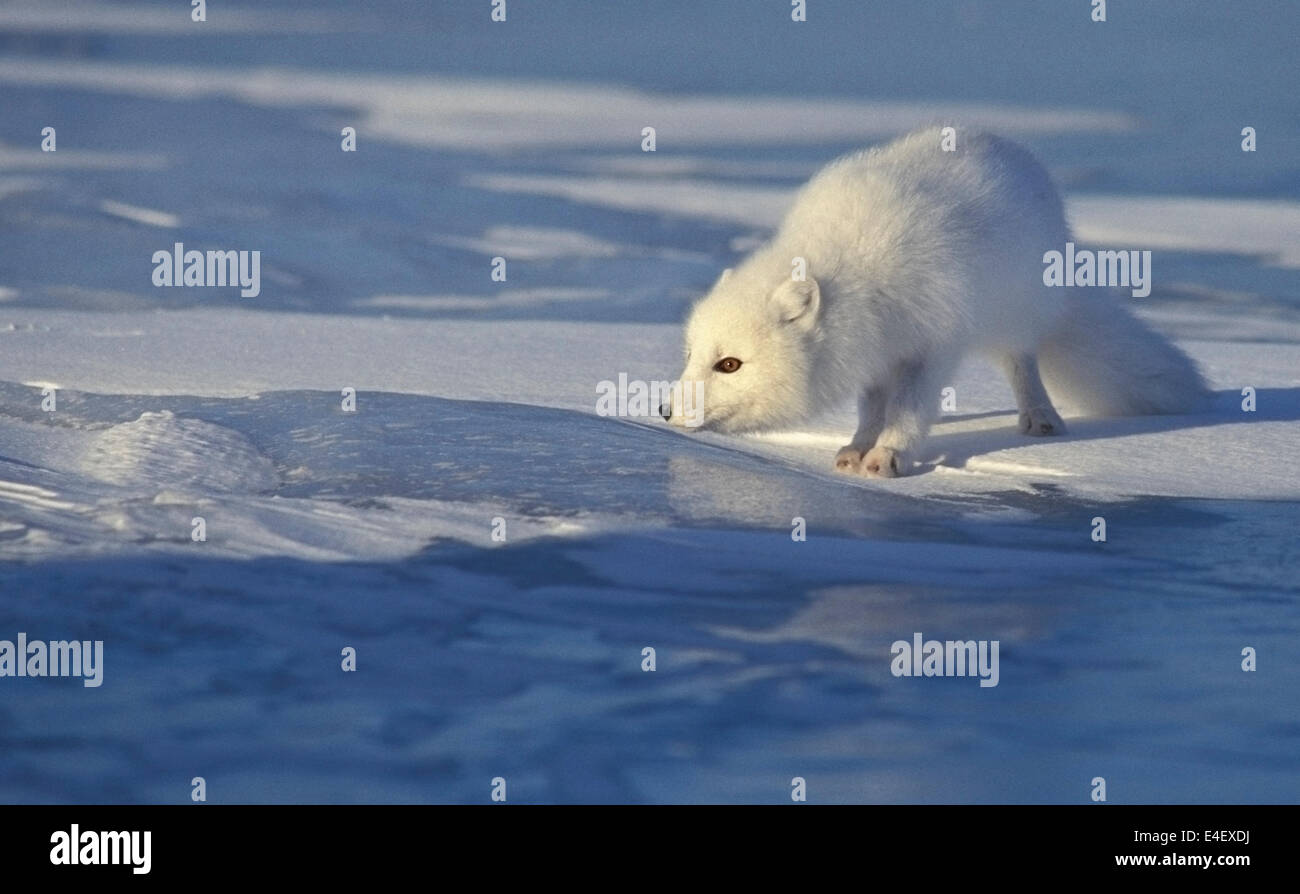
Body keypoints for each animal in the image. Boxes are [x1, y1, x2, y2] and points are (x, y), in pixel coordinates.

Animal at [665, 129, 1211, 478]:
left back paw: (1040, 416)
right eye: (690, 355)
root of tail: (1010, 147)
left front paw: (888, 456)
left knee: (1022, 360)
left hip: (1015, 312)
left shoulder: (933, 345)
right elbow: (871, 409)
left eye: (730, 364)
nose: (665, 410)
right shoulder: (875, 355)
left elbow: (907, 409)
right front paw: (857, 448)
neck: (860, 278)